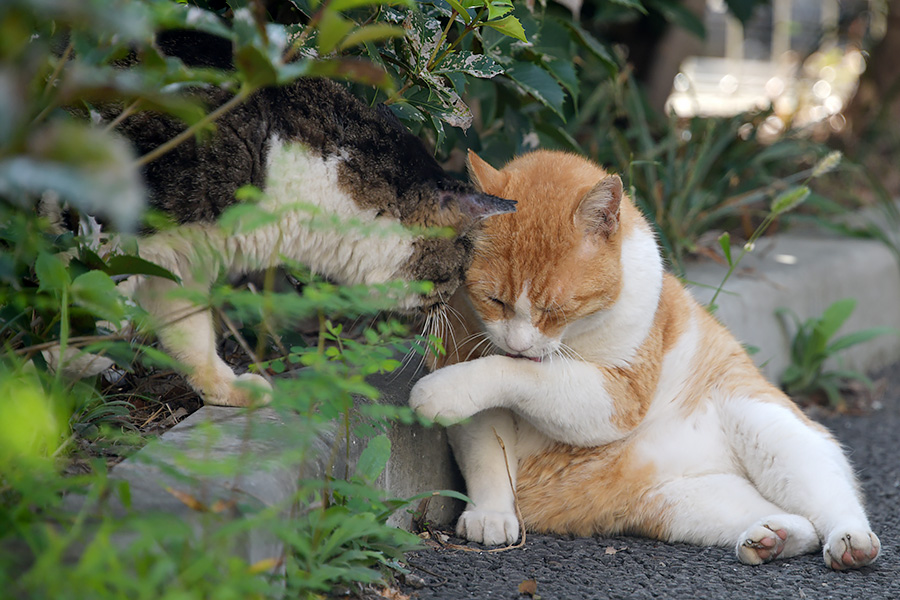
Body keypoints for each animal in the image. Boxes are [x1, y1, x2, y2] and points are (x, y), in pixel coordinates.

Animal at [412, 148, 884, 568]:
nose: (520, 343)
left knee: (832, 500)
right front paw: (491, 514)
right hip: (683, 503)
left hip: (769, 428)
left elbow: (515, 374)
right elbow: (486, 454)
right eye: (495, 301)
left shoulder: (616, 398)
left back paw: (851, 542)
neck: (574, 336)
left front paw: (438, 393)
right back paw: (773, 538)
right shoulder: (465, 360)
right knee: (798, 523)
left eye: (555, 309)